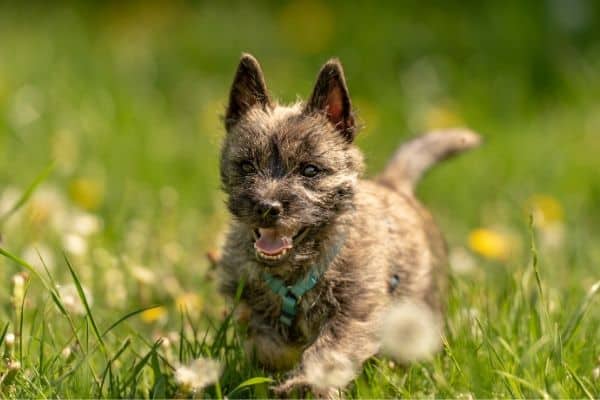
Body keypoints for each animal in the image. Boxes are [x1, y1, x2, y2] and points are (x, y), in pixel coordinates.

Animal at [218, 54, 480, 396]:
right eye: (247, 165)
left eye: (310, 170)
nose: (267, 207)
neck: (296, 270)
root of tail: (393, 184)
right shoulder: (248, 301)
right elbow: (265, 342)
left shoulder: (354, 312)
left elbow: (327, 352)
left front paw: (304, 381)